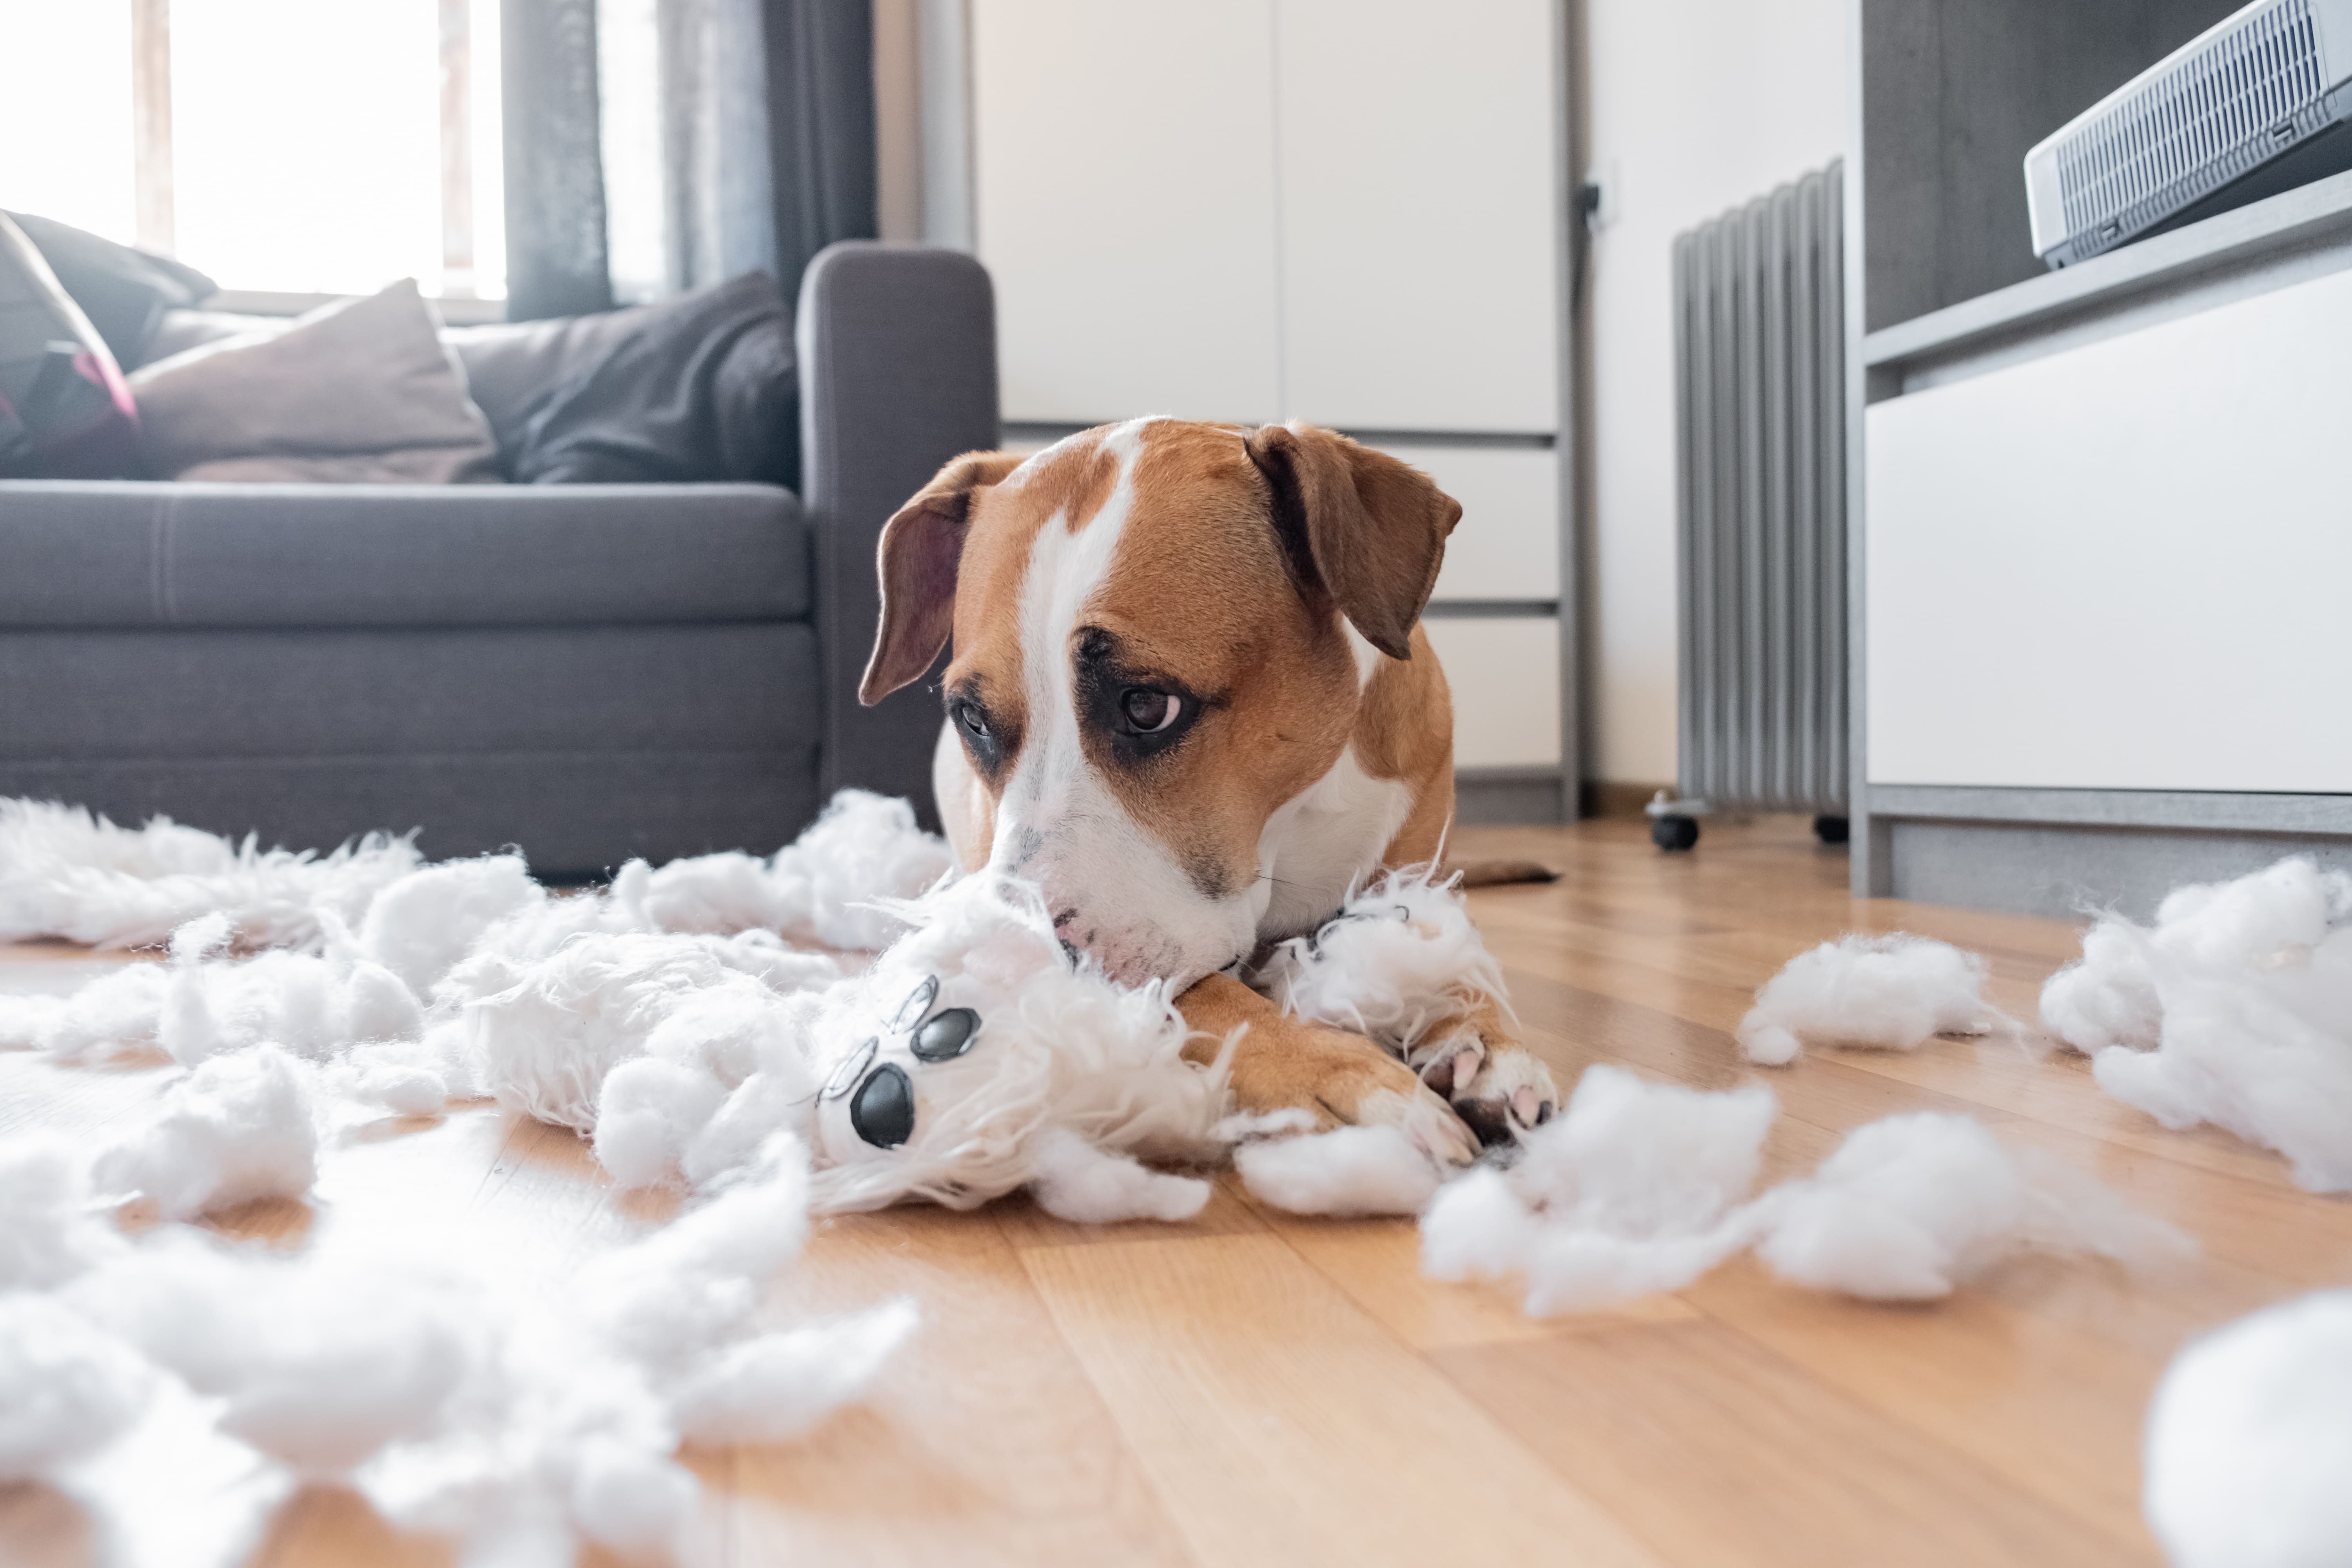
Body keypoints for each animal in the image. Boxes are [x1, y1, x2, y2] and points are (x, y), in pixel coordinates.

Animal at [856, 416, 1552, 1166]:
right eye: (973, 719)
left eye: (1147, 706)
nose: (1014, 964)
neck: (1288, 827)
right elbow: (1213, 999)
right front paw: (1337, 1073)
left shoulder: (1417, 877)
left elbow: (1444, 950)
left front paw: (1479, 1036)